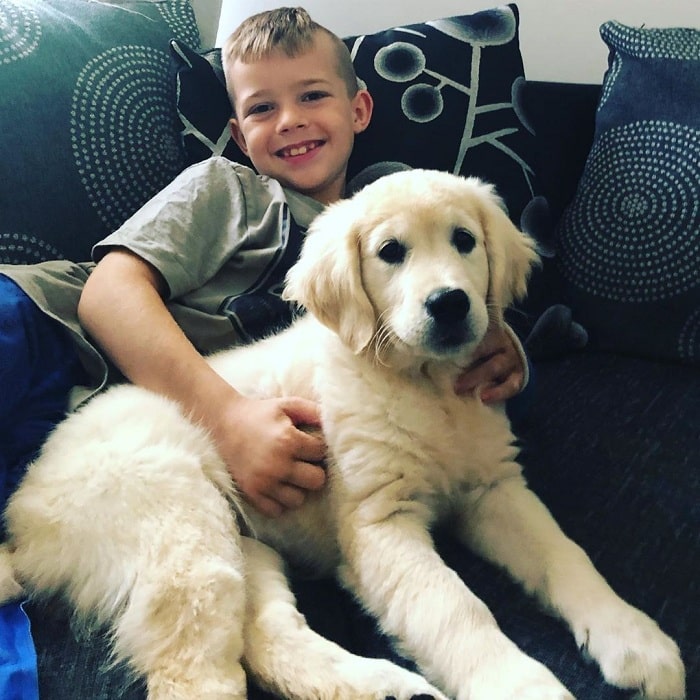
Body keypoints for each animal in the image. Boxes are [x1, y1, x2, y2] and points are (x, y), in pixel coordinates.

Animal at [0, 170, 680, 700]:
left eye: (464, 240)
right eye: (391, 252)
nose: (450, 304)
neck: (426, 387)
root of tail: (25, 508)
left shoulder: (494, 488)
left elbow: (566, 554)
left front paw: (634, 638)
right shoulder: (380, 523)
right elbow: (455, 606)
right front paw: (521, 685)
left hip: (243, 546)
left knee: (269, 639)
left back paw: (390, 688)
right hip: (176, 524)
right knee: (191, 670)